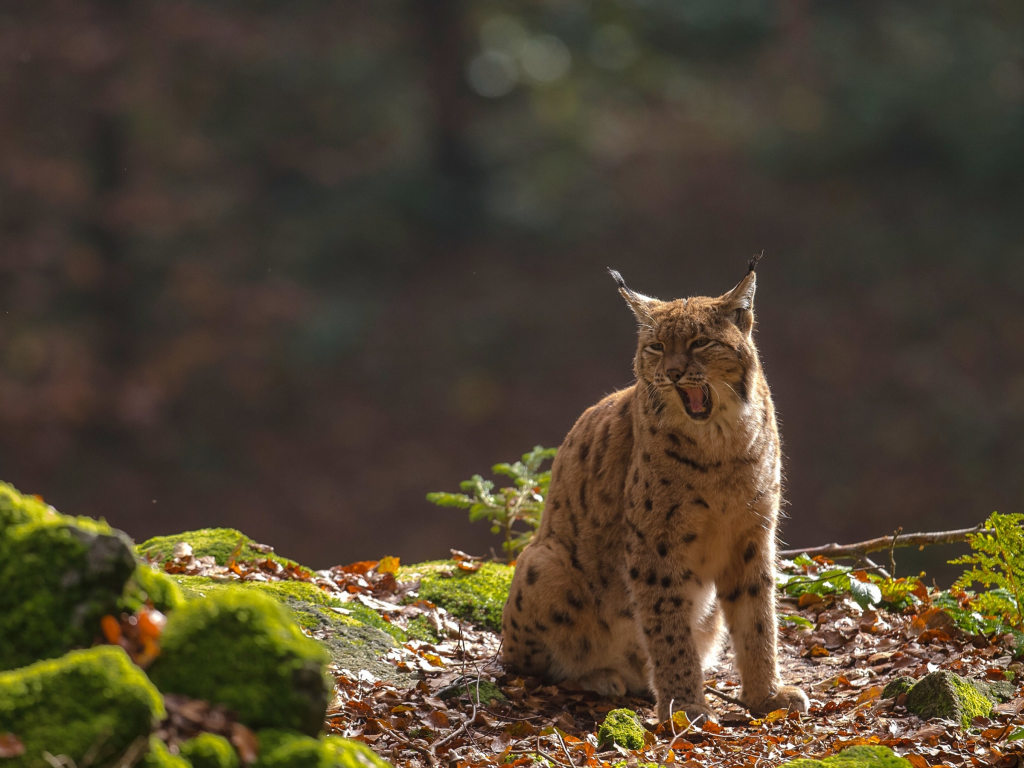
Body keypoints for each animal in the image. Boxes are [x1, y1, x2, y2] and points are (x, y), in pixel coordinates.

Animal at [501, 262, 806, 724]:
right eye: (657, 348)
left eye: (700, 343)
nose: (674, 373)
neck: (720, 438)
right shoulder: (654, 542)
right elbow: (668, 625)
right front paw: (685, 706)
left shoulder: (753, 532)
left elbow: (758, 616)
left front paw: (765, 696)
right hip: (543, 562)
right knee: (523, 665)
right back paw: (603, 675)